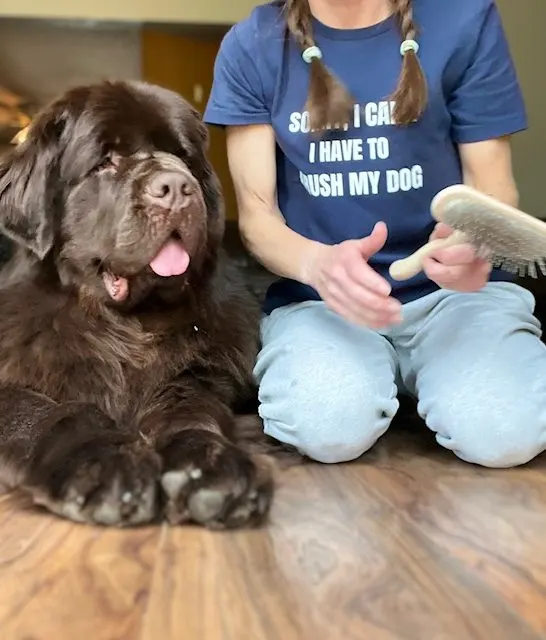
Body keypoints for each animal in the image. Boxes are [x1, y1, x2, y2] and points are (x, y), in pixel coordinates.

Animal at [0, 80, 272, 528]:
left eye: (183, 157)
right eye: (106, 162)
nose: (176, 187)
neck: (128, 327)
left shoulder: (197, 375)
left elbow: (192, 410)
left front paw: (210, 464)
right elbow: (50, 410)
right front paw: (104, 462)